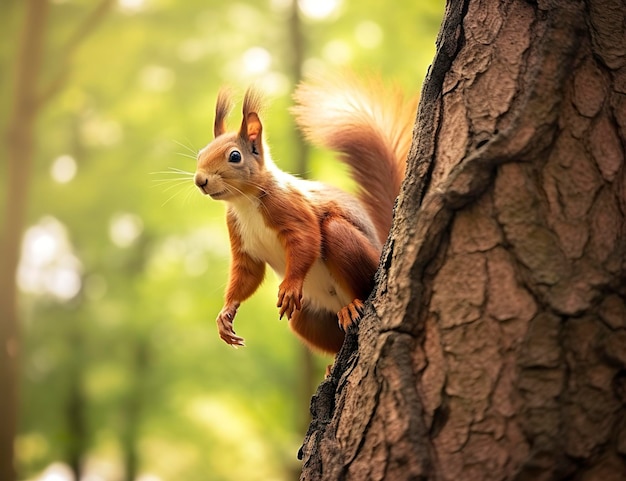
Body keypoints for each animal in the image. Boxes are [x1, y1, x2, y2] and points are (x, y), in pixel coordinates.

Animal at [194, 74, 420, 352]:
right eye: (200, 153)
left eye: (234, 156)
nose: (200, 180)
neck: (245, 203)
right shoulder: (239, 236)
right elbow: (246, 274)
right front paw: (226, 314)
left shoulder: (291, 208)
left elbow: (306, 240)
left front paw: (290, 286)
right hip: (307, 319)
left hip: (352, 248)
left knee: (359, 279)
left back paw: (352, 305)